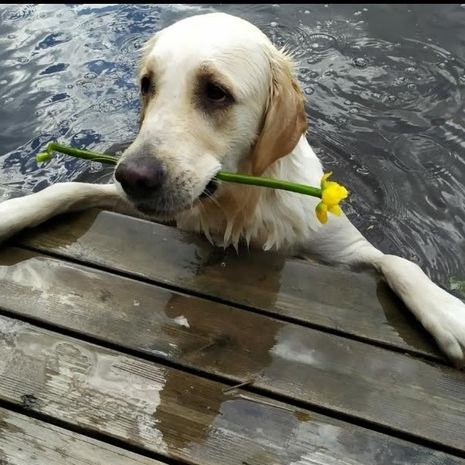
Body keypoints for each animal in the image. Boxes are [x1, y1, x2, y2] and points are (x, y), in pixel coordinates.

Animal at [0, 12, 464, 368]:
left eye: (216, 92)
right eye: (147, 84)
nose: (132, 176)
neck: (238, 204)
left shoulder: (339, 244)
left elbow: (399, 263)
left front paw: (449, 315)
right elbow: (67, 187)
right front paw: (10, 213)